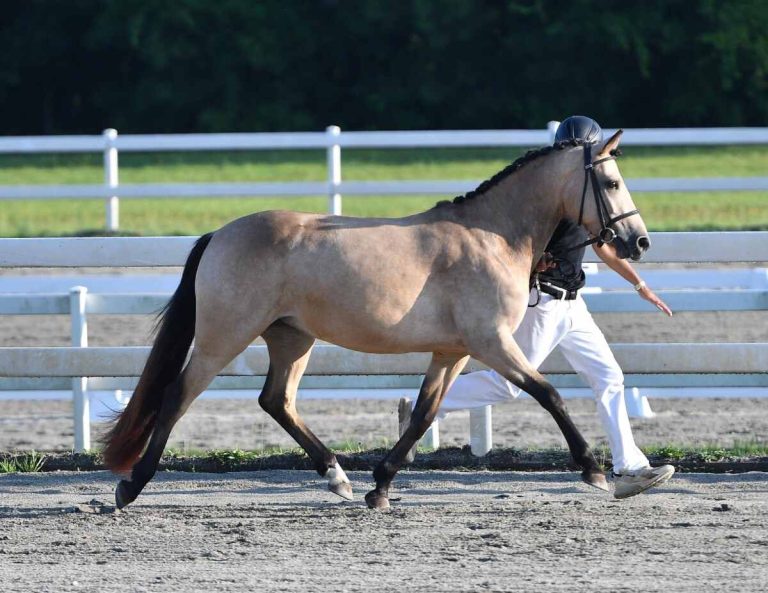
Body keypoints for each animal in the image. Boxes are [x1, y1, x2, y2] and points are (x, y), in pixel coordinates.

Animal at [102, 130, 648, 508]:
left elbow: (425, 412)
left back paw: (338, 477)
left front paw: (380, 486)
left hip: (292, 338)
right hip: (225, 335)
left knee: (276, 400)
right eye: (611, 182)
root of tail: (219, 233)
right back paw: (131, 487)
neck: (491, 235)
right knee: (178, 395)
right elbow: (549, 394)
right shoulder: (492, 343)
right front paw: (594, 470)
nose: (638, 242)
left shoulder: (452, 351)